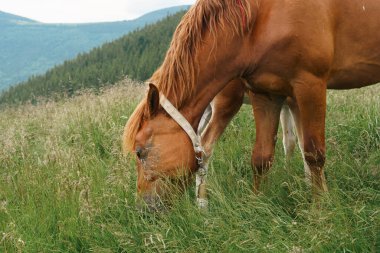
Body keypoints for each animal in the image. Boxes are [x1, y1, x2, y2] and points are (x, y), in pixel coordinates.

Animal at [124, 0, 380, 209]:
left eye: (140, 152)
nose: (143, 208)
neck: (260, 18)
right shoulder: (266, 94)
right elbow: (262, 157)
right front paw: (258, 205)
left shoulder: (309, 86)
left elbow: (312, 153)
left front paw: (320, 209)